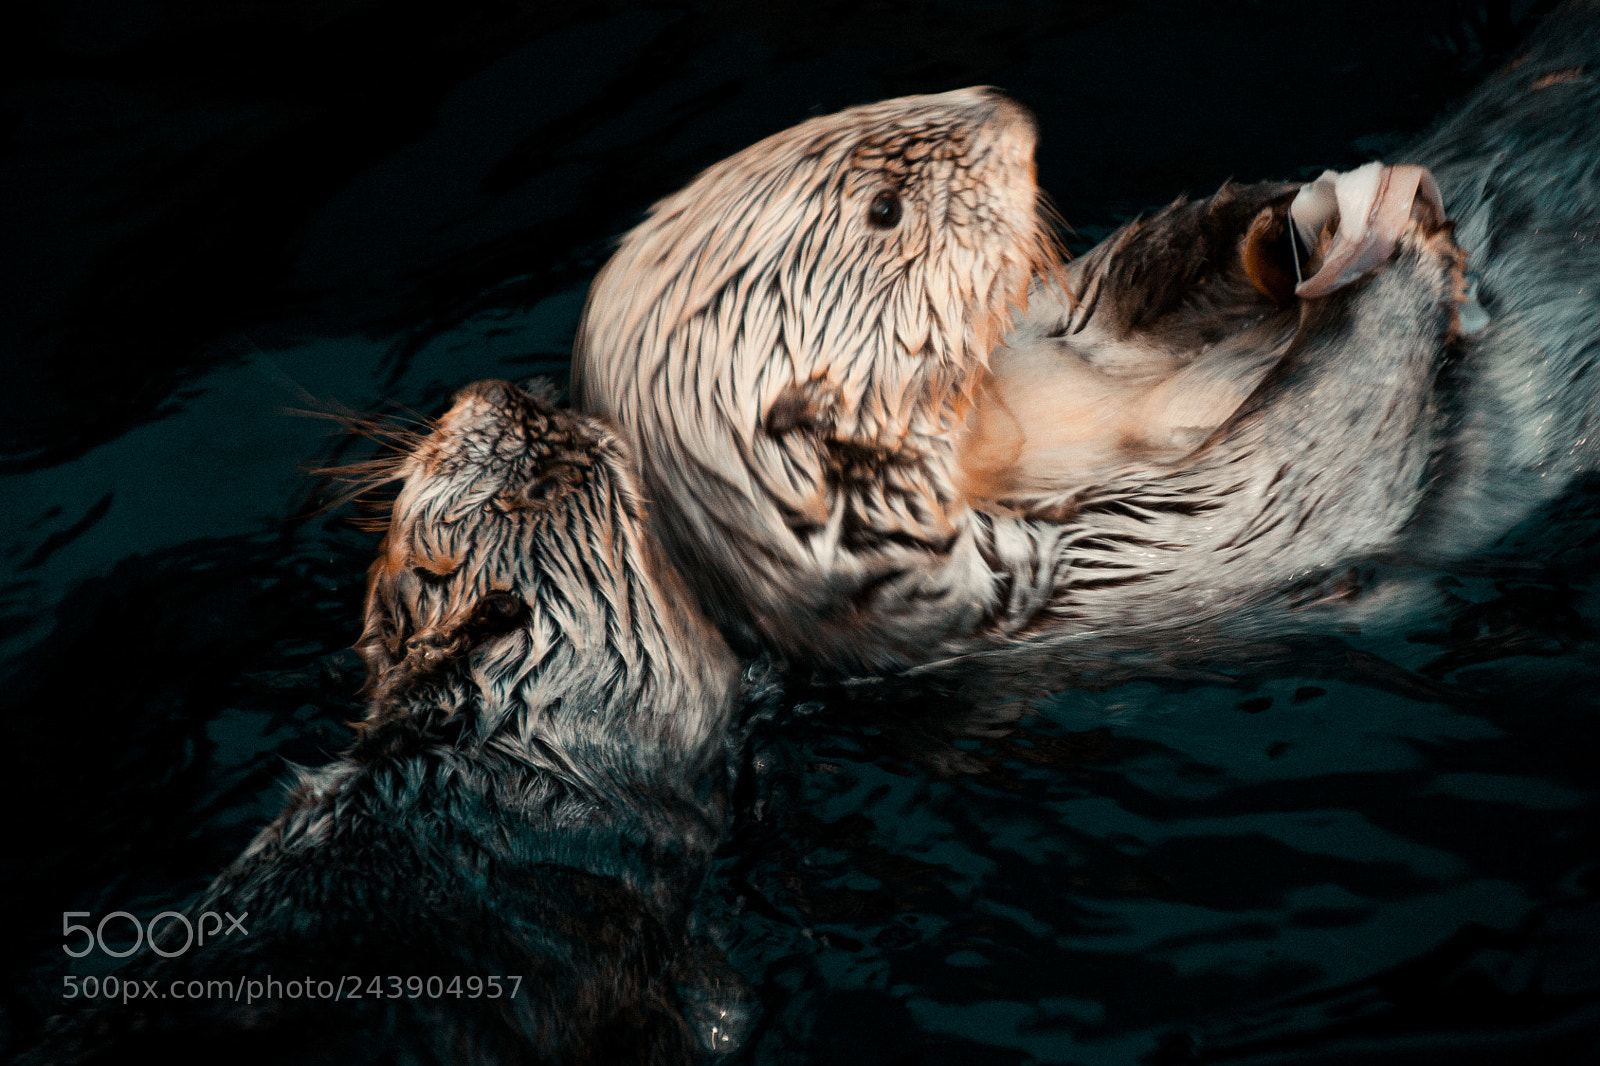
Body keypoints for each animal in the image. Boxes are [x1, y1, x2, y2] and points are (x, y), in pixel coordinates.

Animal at [574, 5, 1600, 676]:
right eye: (885, 209)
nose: (1005, 109)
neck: (1015, 442)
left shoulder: (1070, 347)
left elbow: (1122, 295)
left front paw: (1264, 217)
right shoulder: (1108, 566)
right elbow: (1305, 469)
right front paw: (1396, 258)